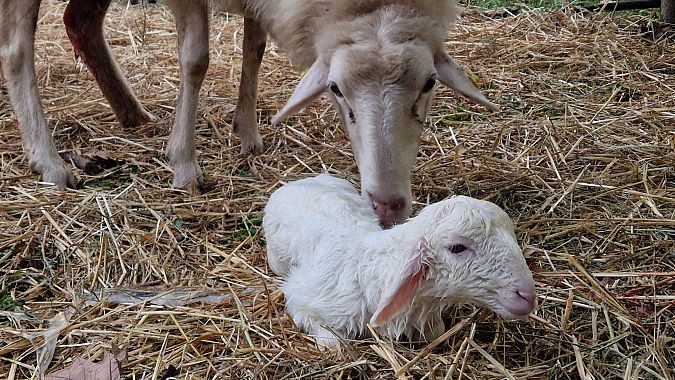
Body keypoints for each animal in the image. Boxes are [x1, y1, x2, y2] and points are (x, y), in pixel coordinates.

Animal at [264, 175, 540, 348]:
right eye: (457, 248)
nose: (527, 296)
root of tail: (298, 181)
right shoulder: (302, 298)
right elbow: (333, 343)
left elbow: (437, 332)